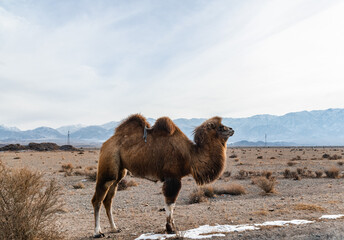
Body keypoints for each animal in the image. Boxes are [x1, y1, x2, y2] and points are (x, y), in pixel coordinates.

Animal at [91, 113, 234, 237]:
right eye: (221, 127)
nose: (232, 129)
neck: (190, 155)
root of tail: (105, 144)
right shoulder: (172, 177)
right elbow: (170, 203)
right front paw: (171, 229)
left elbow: (172, 205)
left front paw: (172, 227)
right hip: (108, 164)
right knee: (97, 199)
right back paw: (98, 232)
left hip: (119, 172)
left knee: (108, 199)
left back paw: (114, 228)